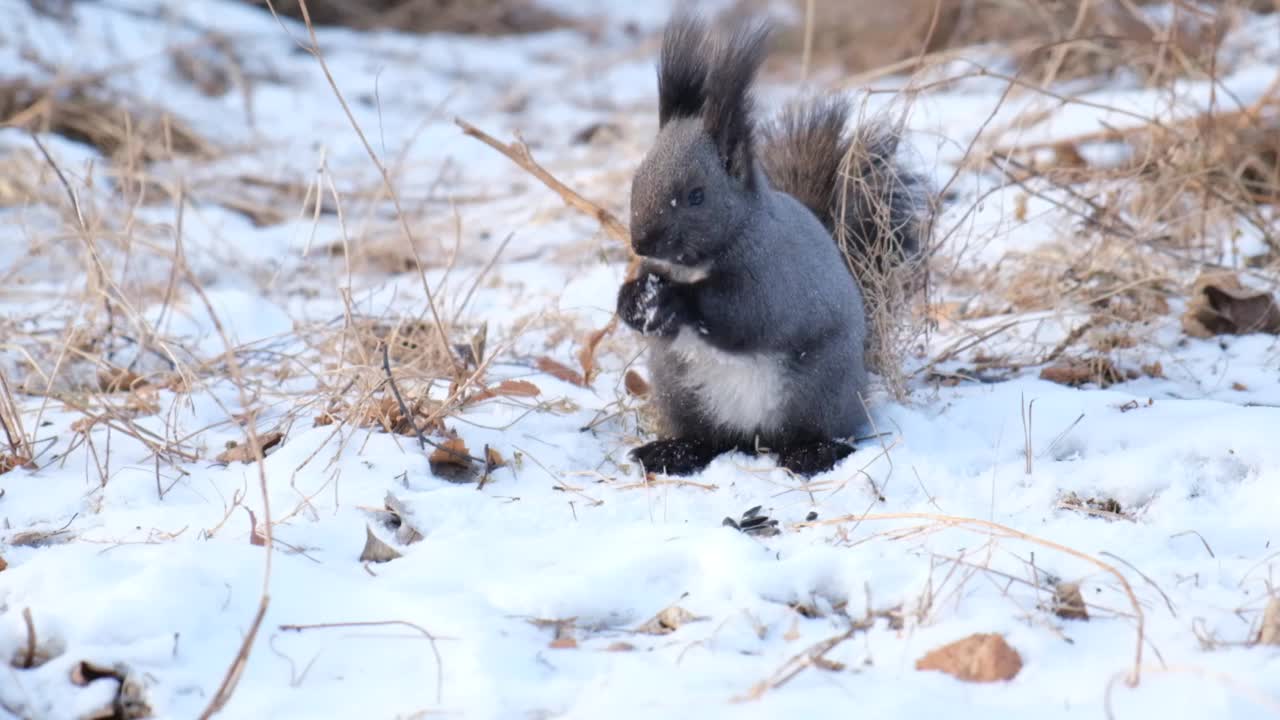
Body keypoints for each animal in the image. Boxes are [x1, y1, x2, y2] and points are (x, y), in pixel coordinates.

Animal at [614, 11, 926, 476]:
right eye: (635, 179)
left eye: (696, 195)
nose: (642, 242)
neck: (694, 264)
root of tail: (753, 437)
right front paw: (632, 300)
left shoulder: (775, 274)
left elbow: (746, 316)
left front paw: (678, 302)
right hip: (680, 390)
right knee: (708, 439)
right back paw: (674, 451)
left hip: (816, 387)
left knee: (816, 433)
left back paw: (813, 453)